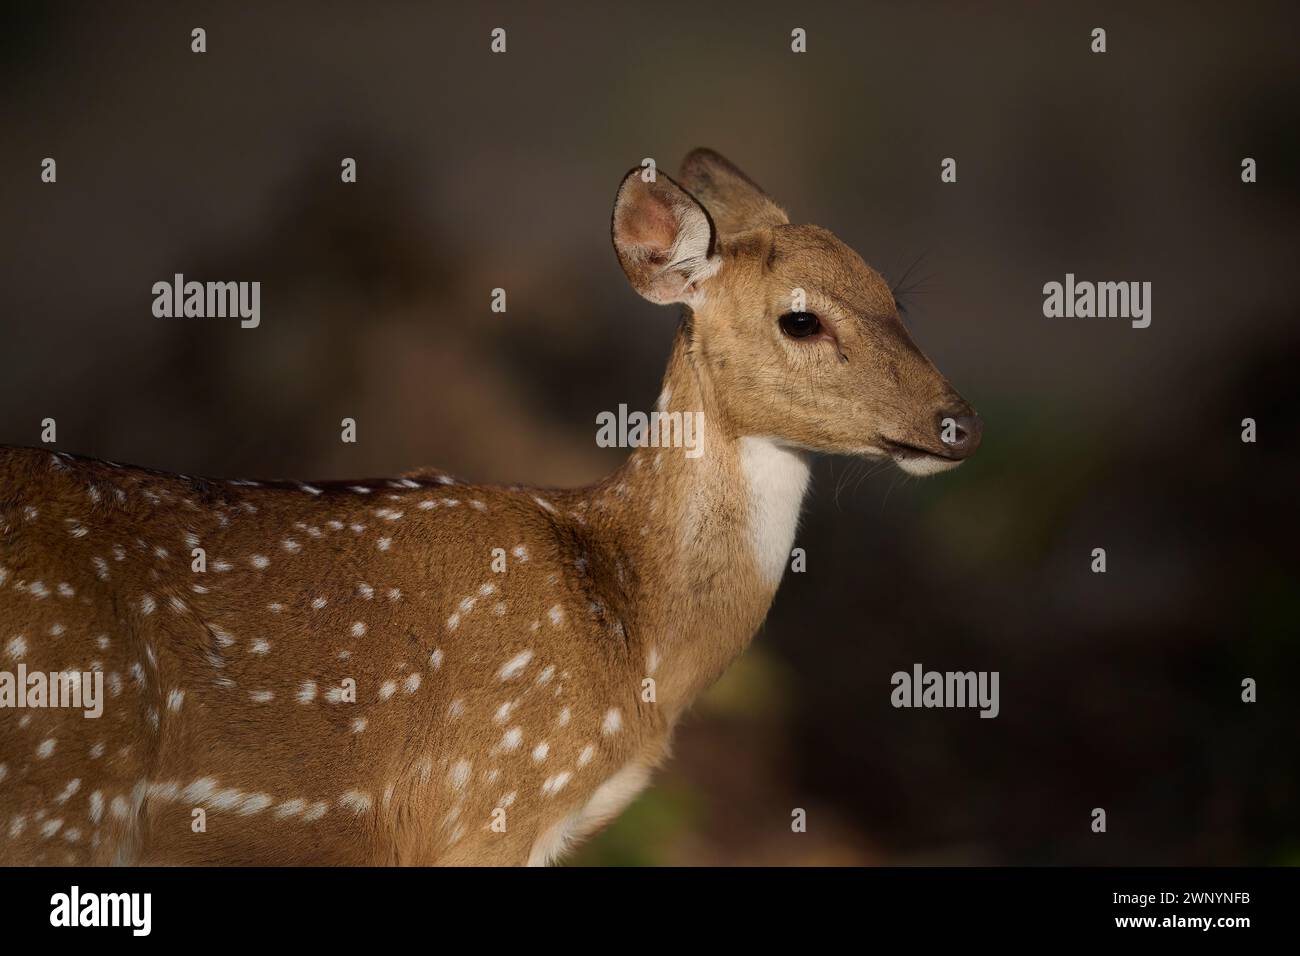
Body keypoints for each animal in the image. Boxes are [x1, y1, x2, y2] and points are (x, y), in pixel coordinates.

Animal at [0, 147, 977, 868]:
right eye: (800, 320)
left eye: (895, 295)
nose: (957, 424)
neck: (630, 633)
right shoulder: (486, 801)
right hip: (62, 793)